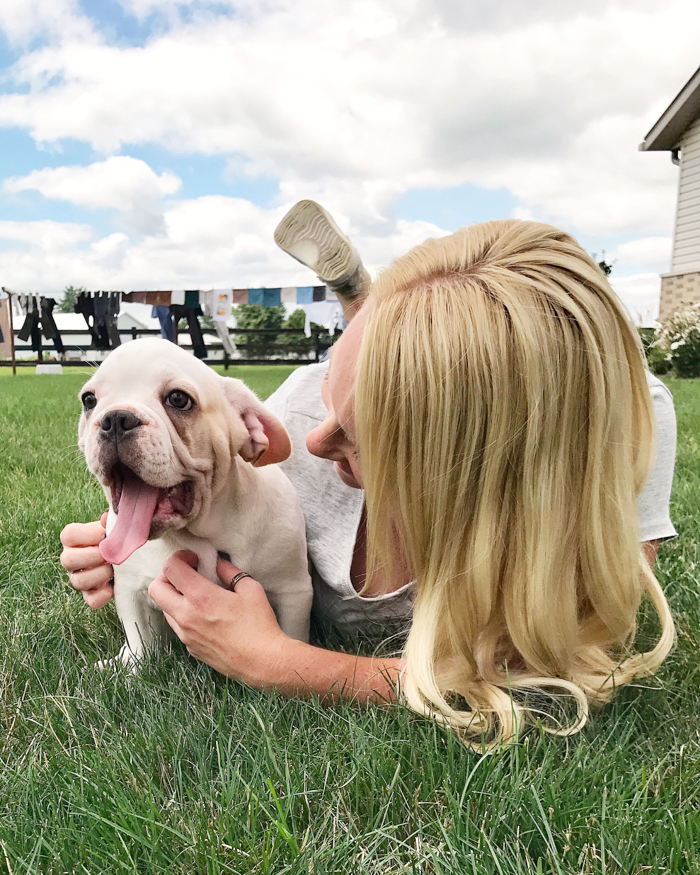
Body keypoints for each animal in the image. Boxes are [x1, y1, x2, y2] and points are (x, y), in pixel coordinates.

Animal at [76, 338, 312, 668]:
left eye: (178, 399)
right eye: (89, 400)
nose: (115, 419)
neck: (201, 535)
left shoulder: (293, 590)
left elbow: (292, 636)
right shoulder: (129, 590)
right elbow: (139, 641)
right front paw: (134, 670)